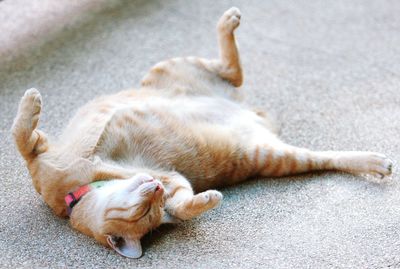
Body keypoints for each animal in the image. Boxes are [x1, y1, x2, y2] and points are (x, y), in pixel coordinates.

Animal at [12, 7, 394, 256]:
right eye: (145, 212)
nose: (154, 187)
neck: (79, 189)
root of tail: (249, 111)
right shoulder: (173, 180)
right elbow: (183, 206)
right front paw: (204, 200)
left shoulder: (41, 153)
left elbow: (21, 134)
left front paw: (29, 100)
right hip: (273, 155)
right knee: (322, 153)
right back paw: (376, 162)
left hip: (165, 68)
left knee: (231, 70)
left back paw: (228, 22)